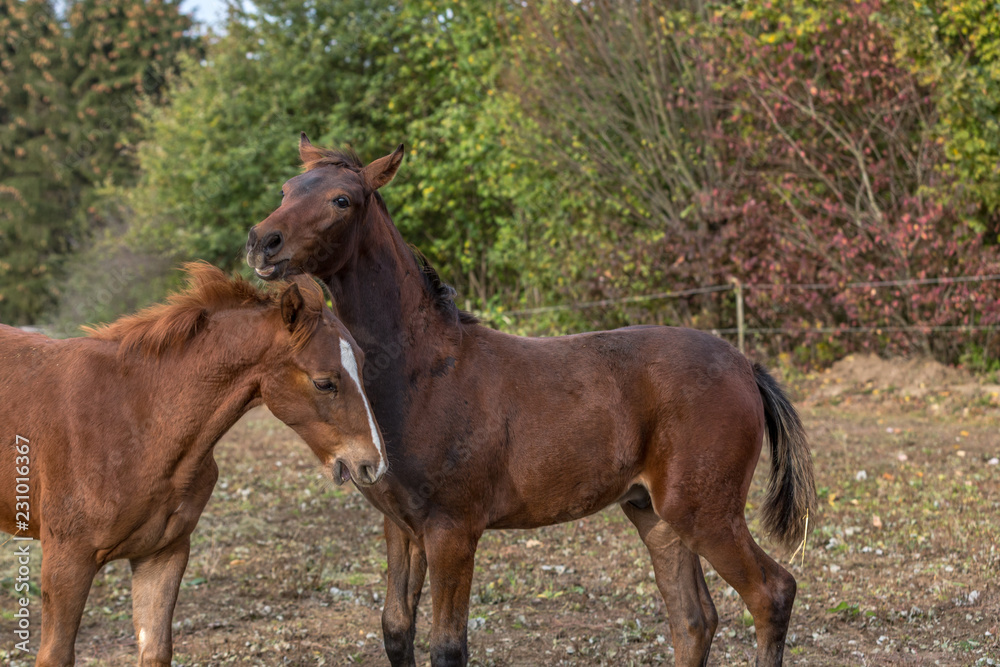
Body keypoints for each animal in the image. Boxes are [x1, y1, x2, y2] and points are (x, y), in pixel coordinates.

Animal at [0, 264, 386, 667]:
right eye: (324, 383)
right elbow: (55, 655)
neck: (134, 418)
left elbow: (156, 650)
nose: (373, 463)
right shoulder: (67, 563)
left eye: (362, 363)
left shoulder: (162, 555)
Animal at [246, 137, 816, 667]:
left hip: (706, 512)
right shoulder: (400, 526)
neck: (422, 369)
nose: (261, 243)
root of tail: (745, 365)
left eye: (342, 200)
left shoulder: (452, 529)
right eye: (287, 189)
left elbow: (447, 647)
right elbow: (395, 631)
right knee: (694, 620)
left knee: (771, 594)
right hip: (655, 516)